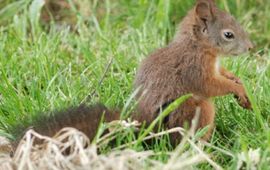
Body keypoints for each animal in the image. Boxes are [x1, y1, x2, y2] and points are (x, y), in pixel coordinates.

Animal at [9, 0, 252, 148]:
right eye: (228, 34)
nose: (251, 47)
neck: (198, 46)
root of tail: (146, 128)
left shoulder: (215, 66)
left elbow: (224, 74)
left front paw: (238, 82)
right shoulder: (195, 68)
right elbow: (211, 85)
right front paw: (237, 88)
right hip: (194, 110)